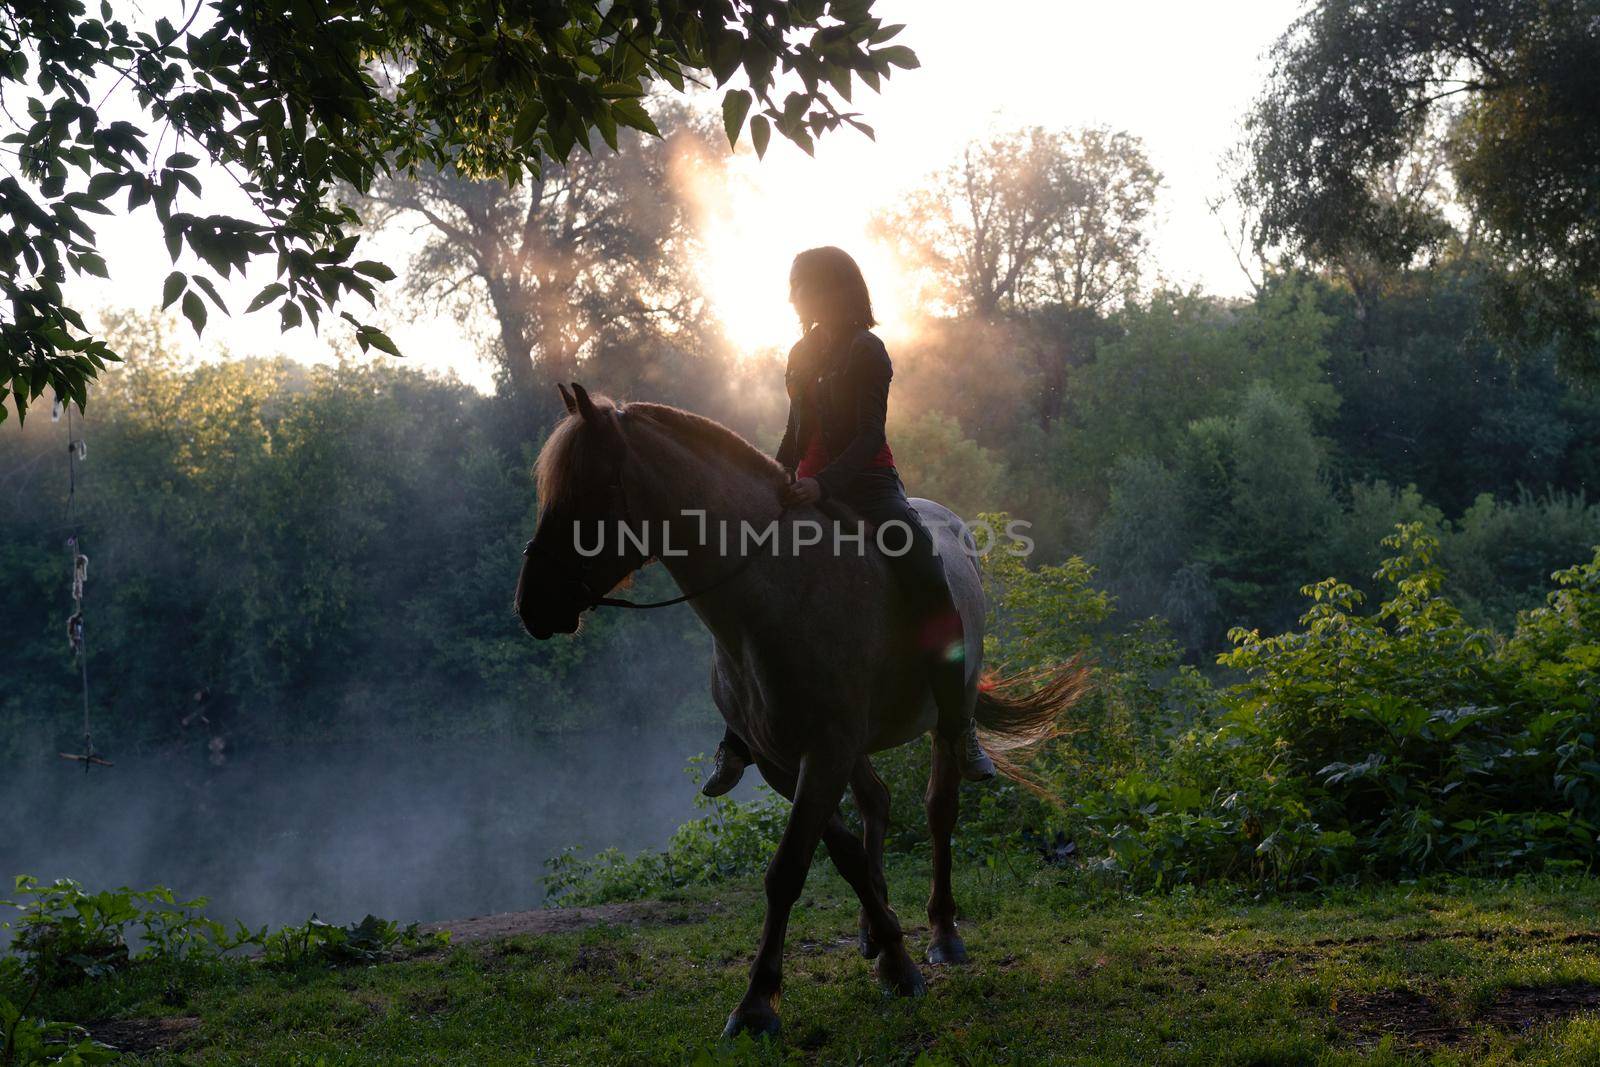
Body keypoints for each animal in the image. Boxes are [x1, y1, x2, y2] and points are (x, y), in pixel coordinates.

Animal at [512, 382, 1088, 1036]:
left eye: (594, 489)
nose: (532, 605)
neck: (777, 591)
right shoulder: (782, 761)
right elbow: (840, 854)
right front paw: (887, 950)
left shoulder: (826, 752)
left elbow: (787, 869)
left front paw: (761, 1001)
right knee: (877, 804)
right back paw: (872, 930)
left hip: (944, 722)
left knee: (940, 810)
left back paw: (943, 933)